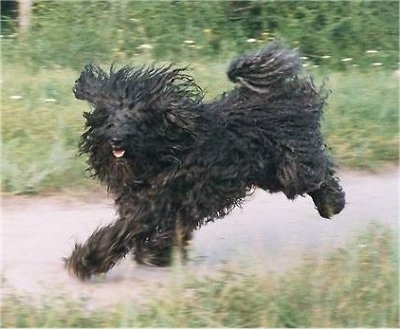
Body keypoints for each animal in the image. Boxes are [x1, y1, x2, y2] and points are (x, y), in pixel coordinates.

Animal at [65, 41, 344, 280]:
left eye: (138, 118)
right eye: (111, 115)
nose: (117, 140)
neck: (163, 154)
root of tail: (282, 93)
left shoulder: (154, 206)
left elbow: (121, 232)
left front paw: (86, 260)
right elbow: (170, 230)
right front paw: (158, 253)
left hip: (289, 166)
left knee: (318, 173)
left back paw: (332, 204)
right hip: (269, 172)